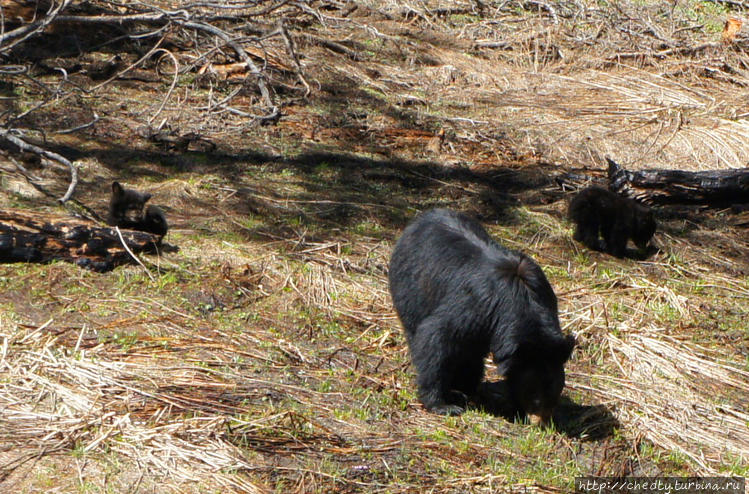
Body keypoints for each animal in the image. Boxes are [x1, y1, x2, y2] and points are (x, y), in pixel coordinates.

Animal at [386, 208, 572, 424]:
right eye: (534, 397)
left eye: (554, 395)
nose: (540, 422)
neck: (523, 300)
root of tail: (421, 218)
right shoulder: (476, 303)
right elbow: (437, 337)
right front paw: (442, 404)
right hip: (411, 289)